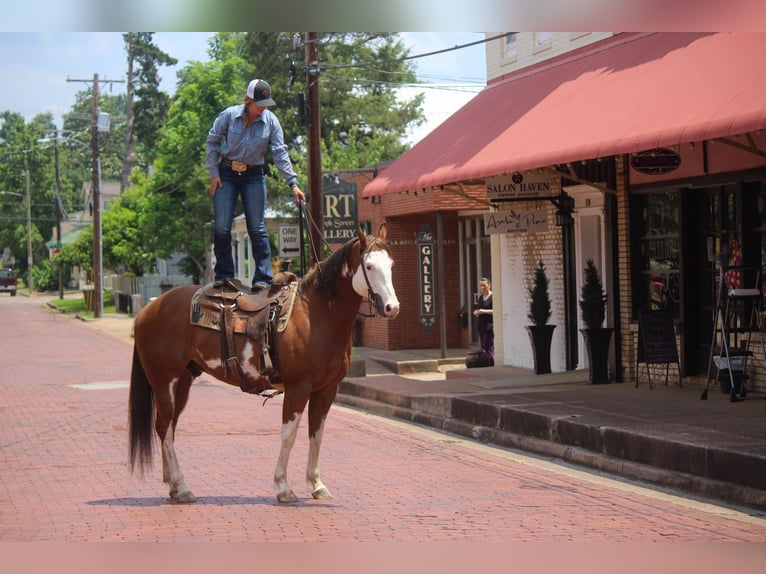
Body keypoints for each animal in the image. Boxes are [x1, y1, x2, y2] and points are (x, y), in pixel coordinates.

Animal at [128, 225, 400, 504]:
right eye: (368, 266)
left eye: (390, 265)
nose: (392, 307)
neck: (316, 315)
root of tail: (148, 310)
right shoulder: (298, 388)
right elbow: (289, 434)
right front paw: (283, 487)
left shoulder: (326, 390)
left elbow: (317, 434)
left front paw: (317, 484)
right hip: (163, 379)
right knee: (163, 426)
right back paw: (181, 486)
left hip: (183, 380)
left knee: (169, 427)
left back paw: (173, 485)